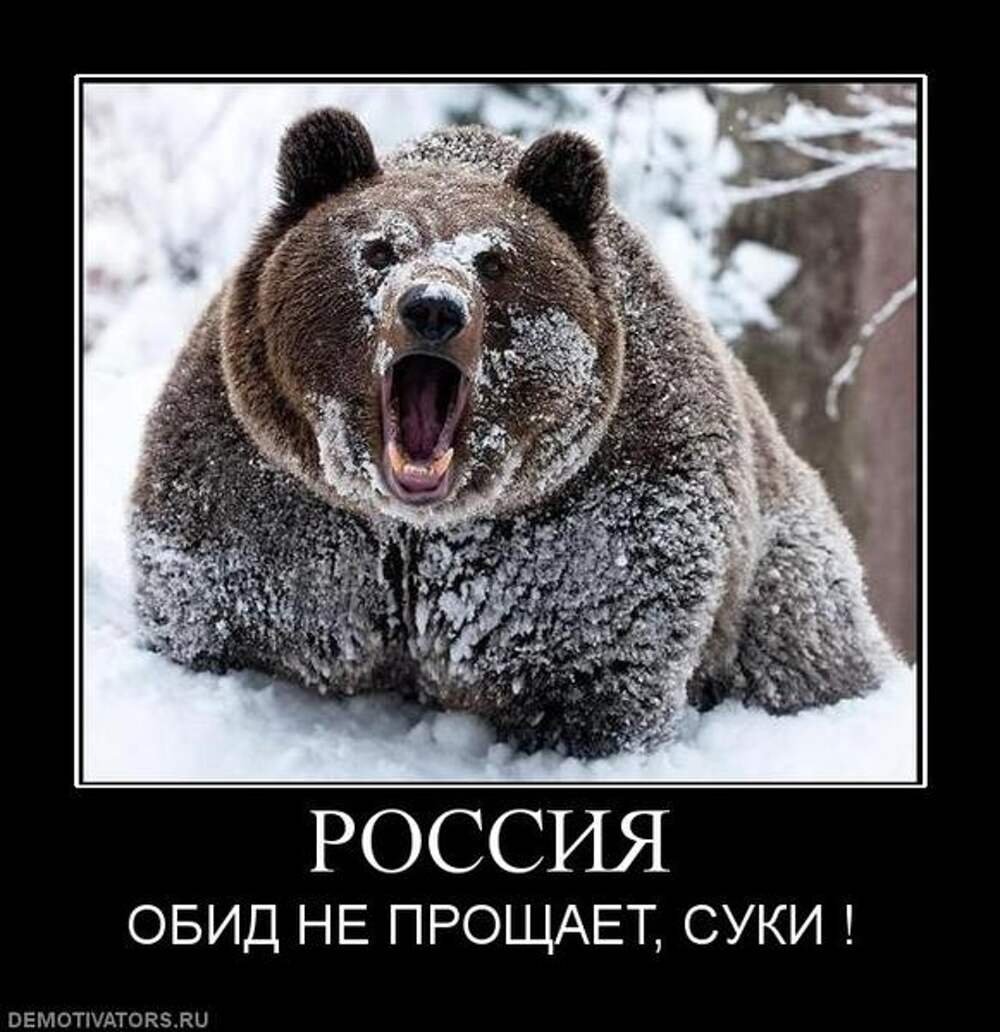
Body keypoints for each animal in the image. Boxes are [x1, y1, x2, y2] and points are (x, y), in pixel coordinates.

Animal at [129, 108, 899, 759]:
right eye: (378, 248)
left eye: (494, 260)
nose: (432, 308)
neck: (416, 528)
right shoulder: (271, 496)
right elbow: (220, 608)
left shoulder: (590, 520)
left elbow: (595, 663)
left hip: (784, 570)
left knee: (802, 644)